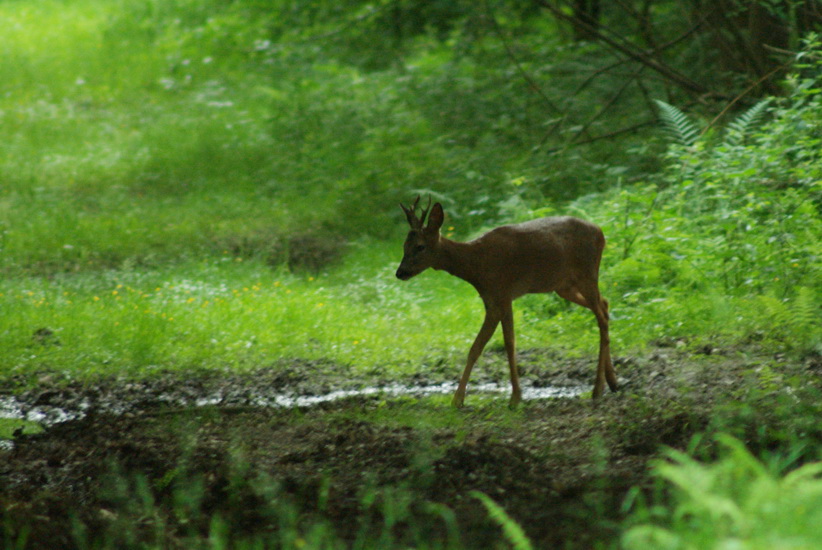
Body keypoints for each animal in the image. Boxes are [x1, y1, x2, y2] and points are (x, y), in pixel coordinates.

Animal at [398, 196, 616, 408]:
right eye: (404, 246)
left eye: (420, 246)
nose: (400, 272)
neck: (476, 265)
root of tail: (600, 232)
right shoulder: (492, 300)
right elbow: (483, 347)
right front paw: (461, 399)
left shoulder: (502, 294)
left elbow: (500, 345)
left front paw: (511, 398)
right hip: (564, 286)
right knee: (605, 304)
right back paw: (612, 381)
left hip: (587, 273)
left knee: (601, 317)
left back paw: (598, 389)